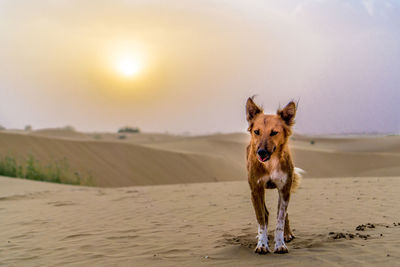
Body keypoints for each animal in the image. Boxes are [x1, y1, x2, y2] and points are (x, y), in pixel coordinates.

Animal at [244, 97, 304, 255]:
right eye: (256, 131)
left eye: (274, 132)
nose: (261, 152)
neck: (270, 164)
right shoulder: (256, 190)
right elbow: (261, 219)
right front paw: (262, 244)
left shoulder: (284, 190)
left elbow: (280, 220)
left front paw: (280, 244)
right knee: (265, 214)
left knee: (284, 215)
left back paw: (287, 234)